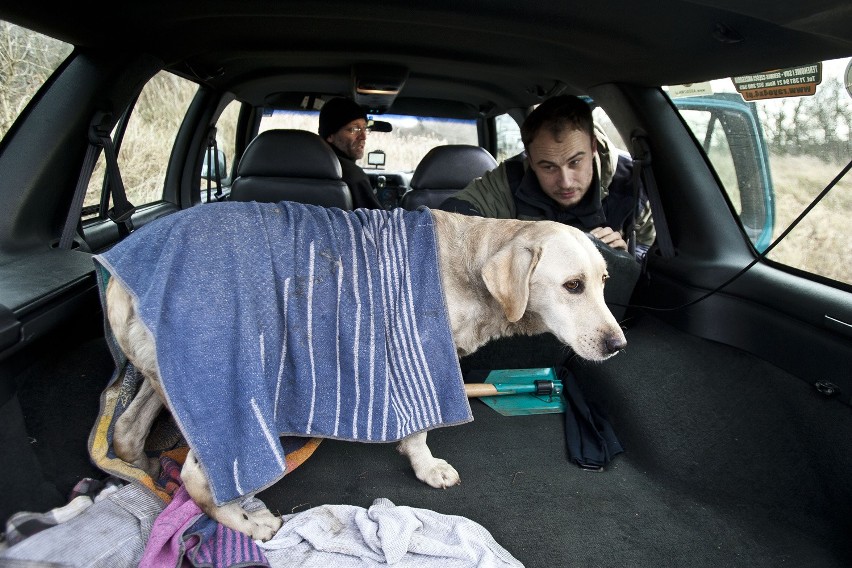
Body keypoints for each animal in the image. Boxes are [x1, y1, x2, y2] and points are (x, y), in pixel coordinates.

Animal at [106, 210, 624, 540]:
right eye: (572, 285)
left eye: (603, 282)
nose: (618, 345)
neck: (471, 259)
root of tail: (119, 281)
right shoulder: (417, 355)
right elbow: (419, 430)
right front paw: (427, 466)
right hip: (224, 388)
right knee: (200, 478)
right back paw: (249, 524)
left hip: (163, 380)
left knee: (128, 433)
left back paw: (149, 473)